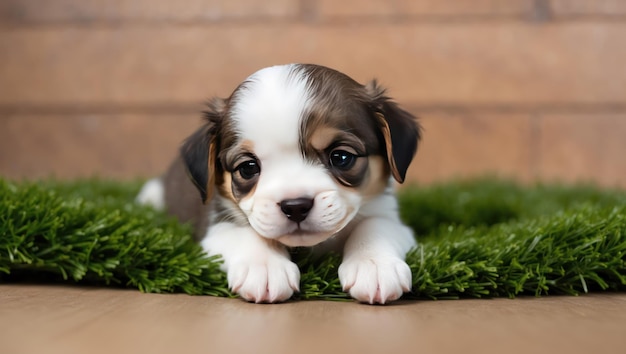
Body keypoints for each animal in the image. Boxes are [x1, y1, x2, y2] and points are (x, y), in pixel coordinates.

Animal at [136, 63, 420, 304]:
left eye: (341, 157)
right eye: (248, 167)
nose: (295, 206)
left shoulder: (386, 214)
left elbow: (374, 226)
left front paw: (374, 264)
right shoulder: (216, 225)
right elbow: (246, 233)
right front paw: (264, 266)